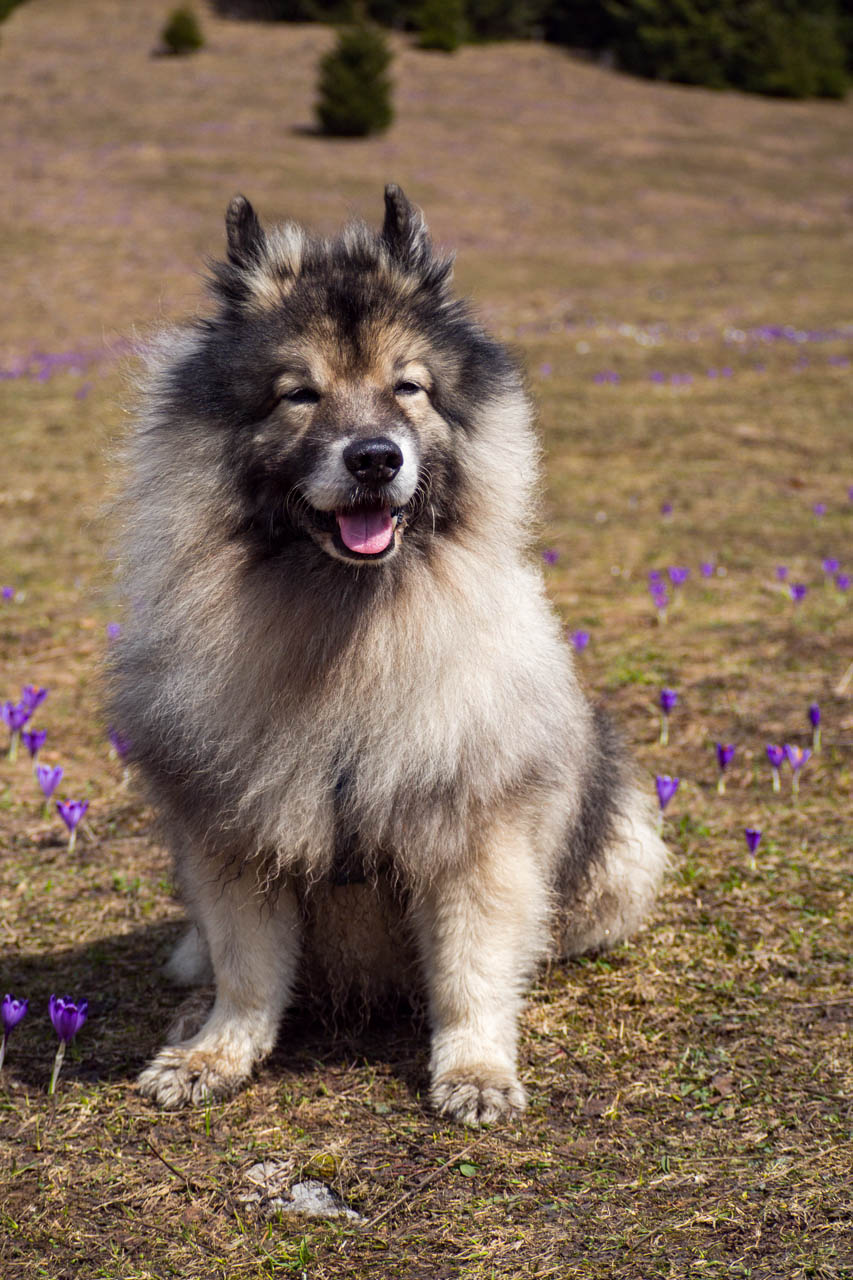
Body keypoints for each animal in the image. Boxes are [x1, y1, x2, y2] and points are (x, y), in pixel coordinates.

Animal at [111, 185, 666, 1126]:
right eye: (298, 394)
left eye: (407, 387)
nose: (374, 457)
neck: (351, 627)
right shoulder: (235, 837)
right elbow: (248, 973)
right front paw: (216, 1053)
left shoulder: (475, 831)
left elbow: (470, 972)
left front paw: (476, 1070)